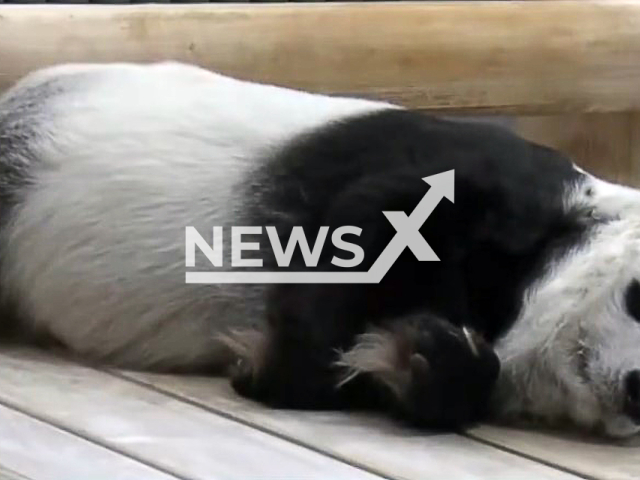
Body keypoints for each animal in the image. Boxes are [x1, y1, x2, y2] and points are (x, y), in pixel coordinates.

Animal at [0, 61, 640, 438]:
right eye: (637, 295)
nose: (635, 388)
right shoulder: (493, 186)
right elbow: (367, 225)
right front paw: (272, 371)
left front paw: (418, 357)